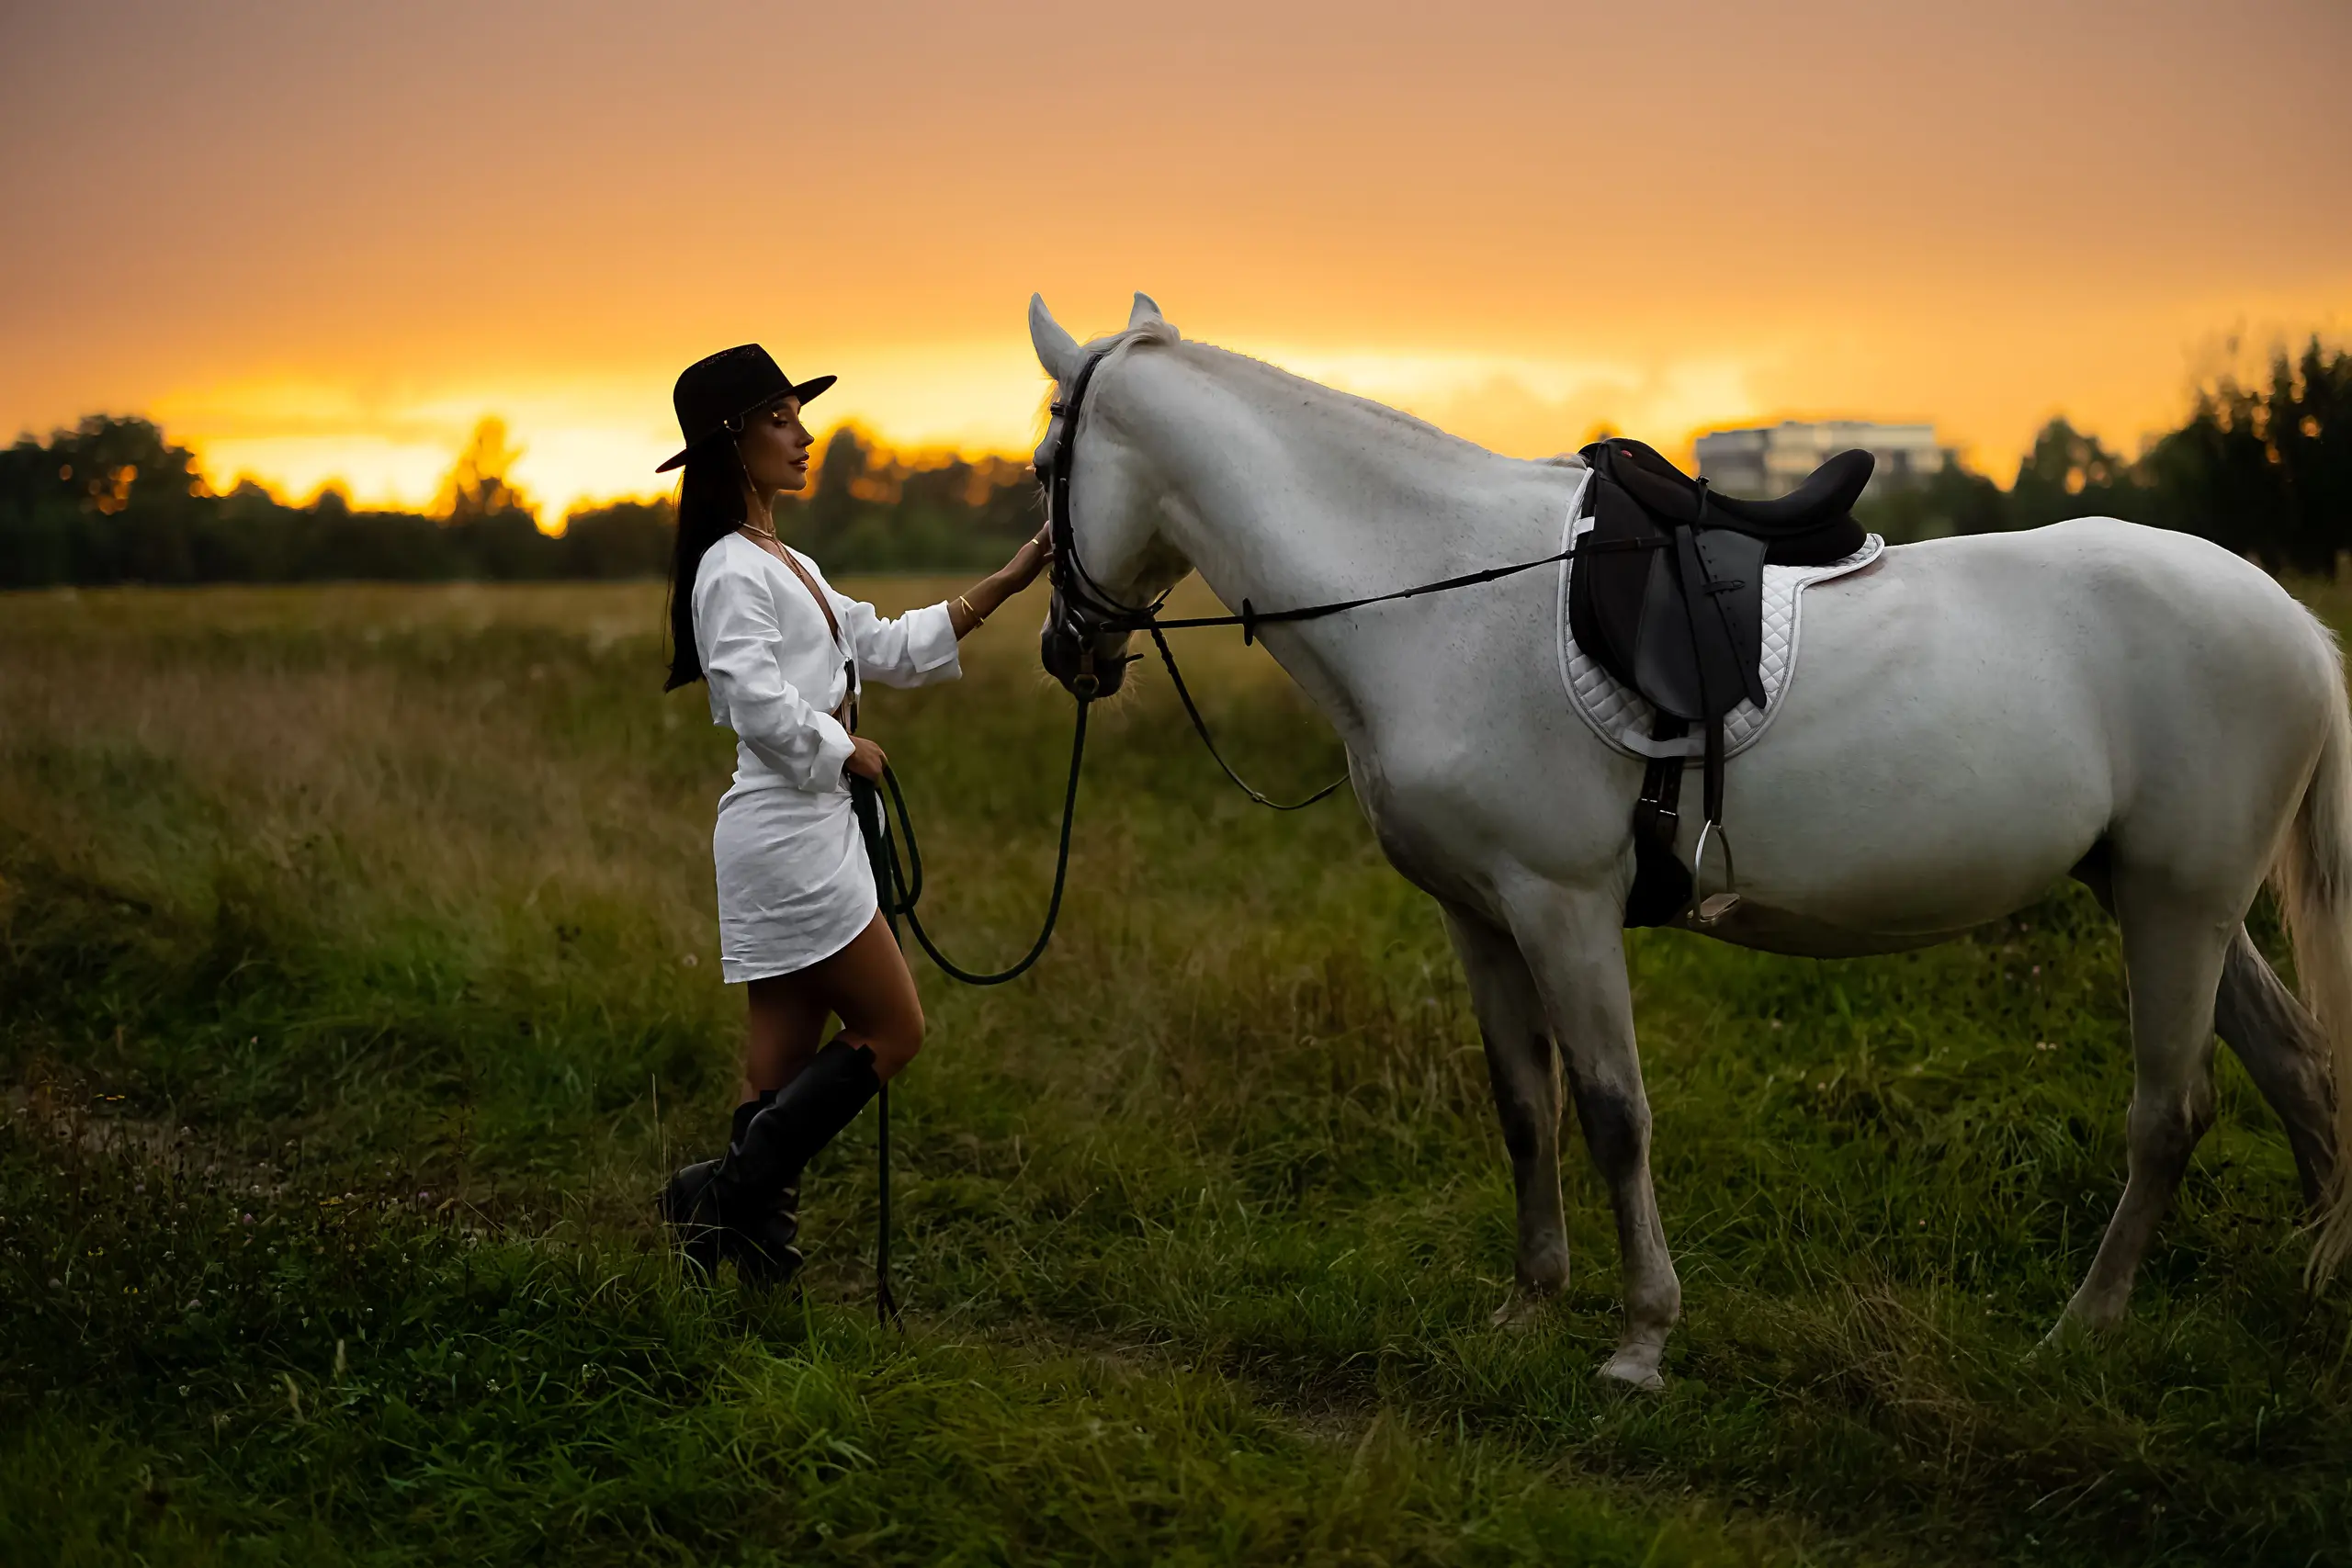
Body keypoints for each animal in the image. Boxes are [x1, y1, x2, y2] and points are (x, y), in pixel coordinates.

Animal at [1030, 291, 2352, 1382]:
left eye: (1045, 460)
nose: (1066, 650)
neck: (1440, 594)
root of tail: (2290, 618)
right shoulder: (1478, 917)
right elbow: (1525, 1106)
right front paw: (1529, 1306)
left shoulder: (1560, 904)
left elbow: (1614, 1110)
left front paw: (1640, 1339)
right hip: (2164, 898)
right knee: (2293, 1068)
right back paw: (2312, 1290)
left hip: (2179, 904)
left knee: (2170, 1113)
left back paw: (2084, 1327)